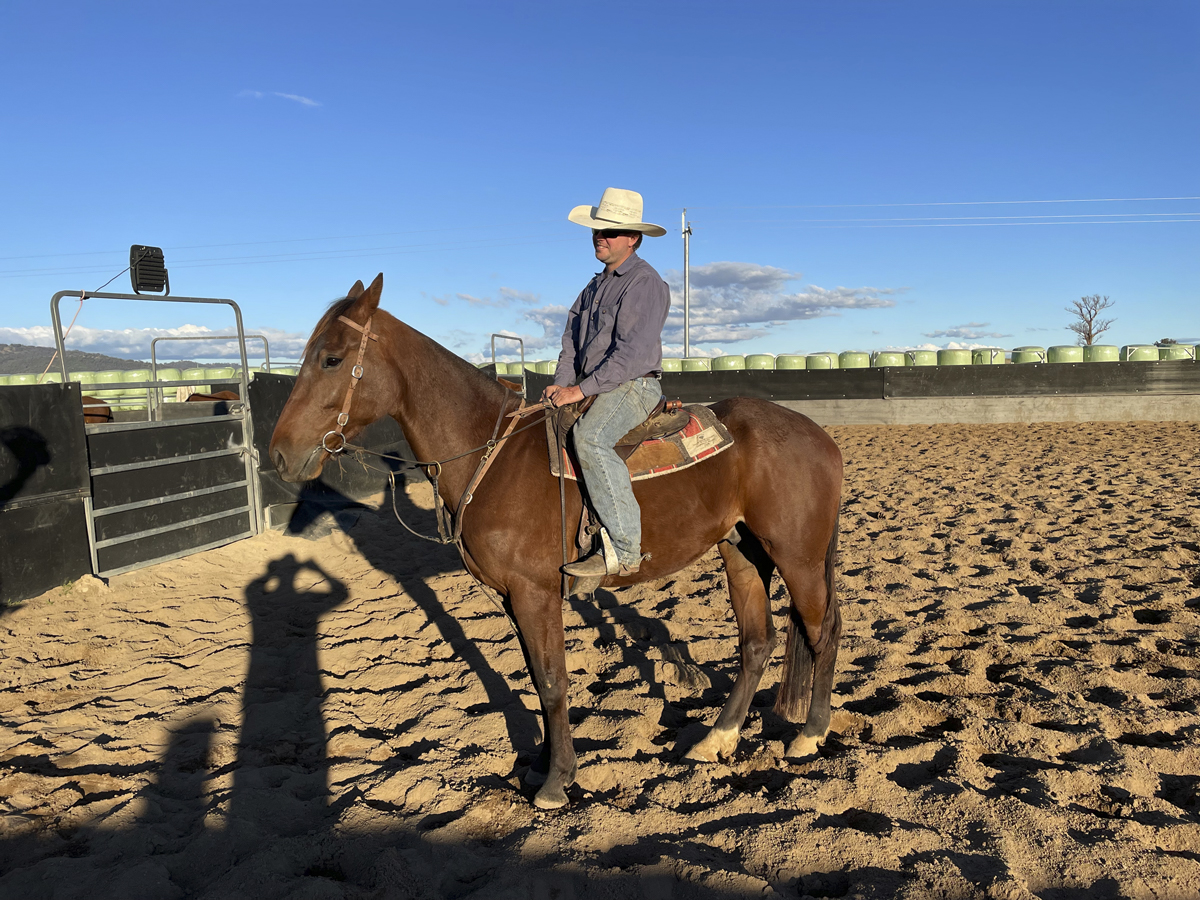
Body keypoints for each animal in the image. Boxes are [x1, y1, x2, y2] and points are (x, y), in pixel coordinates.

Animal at [269, 274, 844, 810]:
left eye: (332, 359)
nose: (278, 454)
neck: (490, 455)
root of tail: (819, 436)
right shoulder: (515, 596)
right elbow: (534, 674)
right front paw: (539, 766)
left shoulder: (534, 592)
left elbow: (551, 681)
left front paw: (557, 780)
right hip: (741, 551)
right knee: (757, 642)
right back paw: (715, 739)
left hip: (797, 556)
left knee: (823, 631)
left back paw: (810, 735)